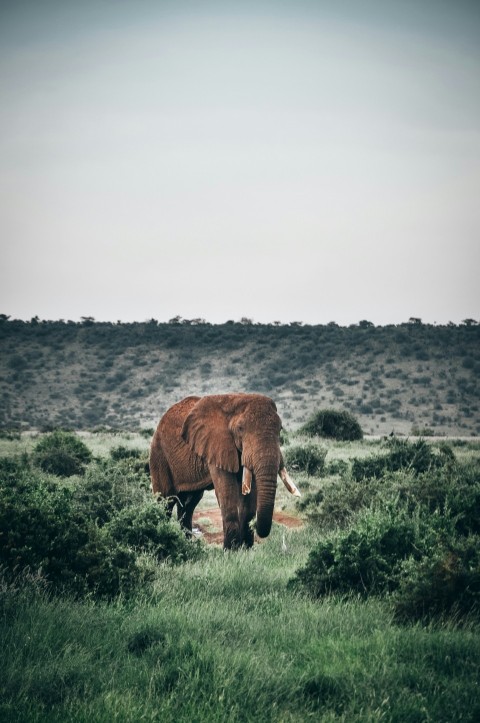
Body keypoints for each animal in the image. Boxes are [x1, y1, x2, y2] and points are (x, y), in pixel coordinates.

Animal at [150, 396, 300, 548]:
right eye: (240, 429)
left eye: (280, 429)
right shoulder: (216, 445)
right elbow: (227, 492)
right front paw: (231, 550)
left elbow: (250, 494)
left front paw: (246, 549)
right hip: (159, 455)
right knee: (166, 501)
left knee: (188, 505)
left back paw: (187, 544)